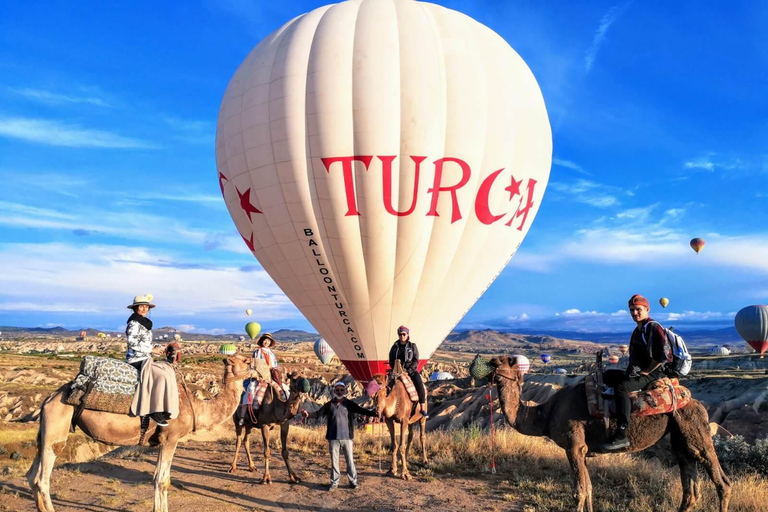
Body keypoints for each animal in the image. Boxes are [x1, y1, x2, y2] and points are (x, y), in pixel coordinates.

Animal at [27, 354, 254, 512]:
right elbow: (162, 480)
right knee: (43, 478)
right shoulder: (170, 438)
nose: (258, 369)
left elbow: (161, 479)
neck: (195, 405)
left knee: (31, 475)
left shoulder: (162, 441)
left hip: (46, 430)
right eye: (246, 360)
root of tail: (49, 398)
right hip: (58, 422)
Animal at [488, 356, 728, 512]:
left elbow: (579, 491)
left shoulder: (574, 446)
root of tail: (694, 401)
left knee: (721, 482)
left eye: (505, 361)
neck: (545, 414)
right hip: (680, 441)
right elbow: (589, 488)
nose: (490, 362)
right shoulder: (583, 451)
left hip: (696, 430)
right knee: (690, 490)